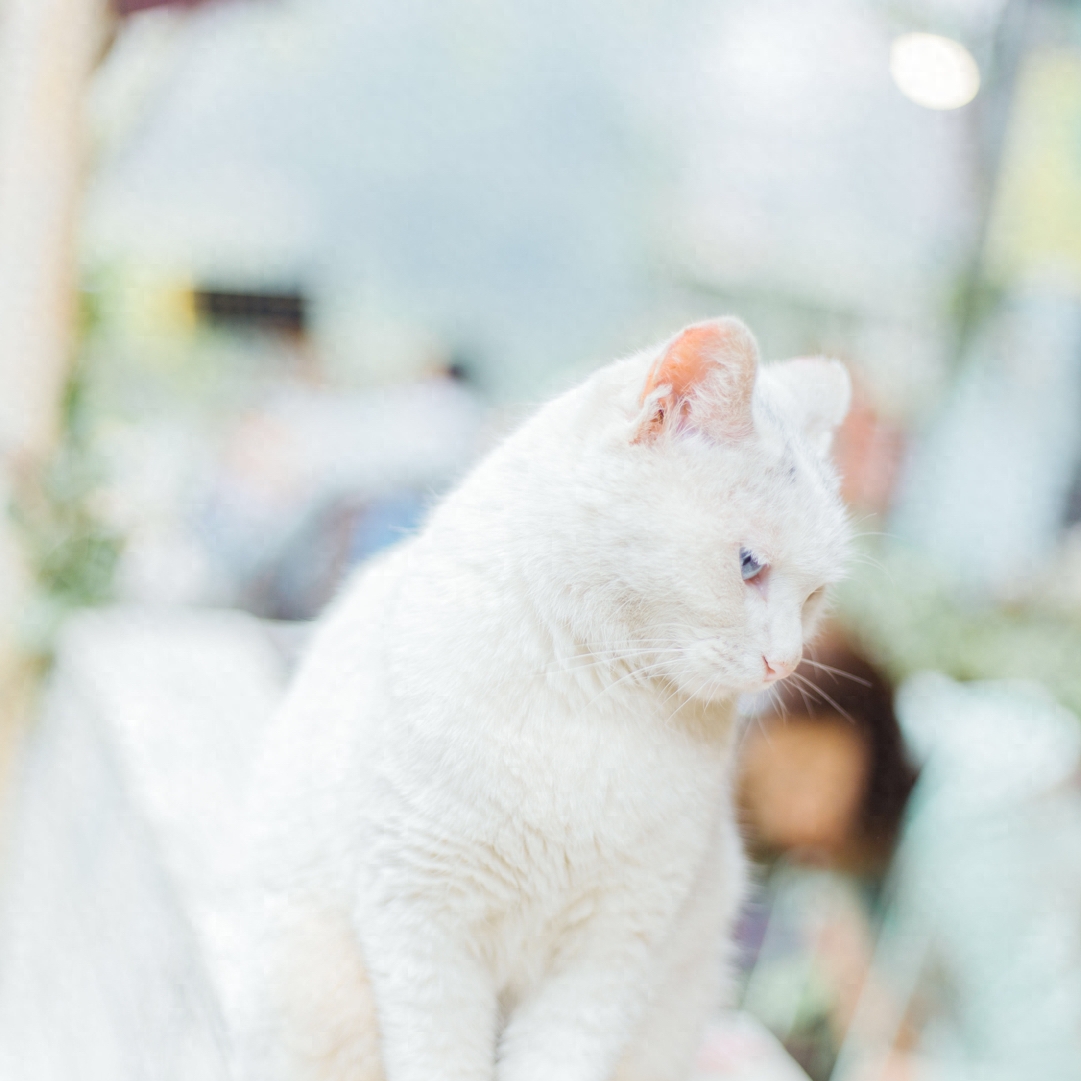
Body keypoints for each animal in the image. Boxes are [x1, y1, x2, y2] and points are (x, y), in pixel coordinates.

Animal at [234, 317, 851, 1081]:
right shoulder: (422, 930)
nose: (785, 660)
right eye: (748, 566)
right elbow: (441, 1059)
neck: (598, 692)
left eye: (815, 595)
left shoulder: (609, 958)